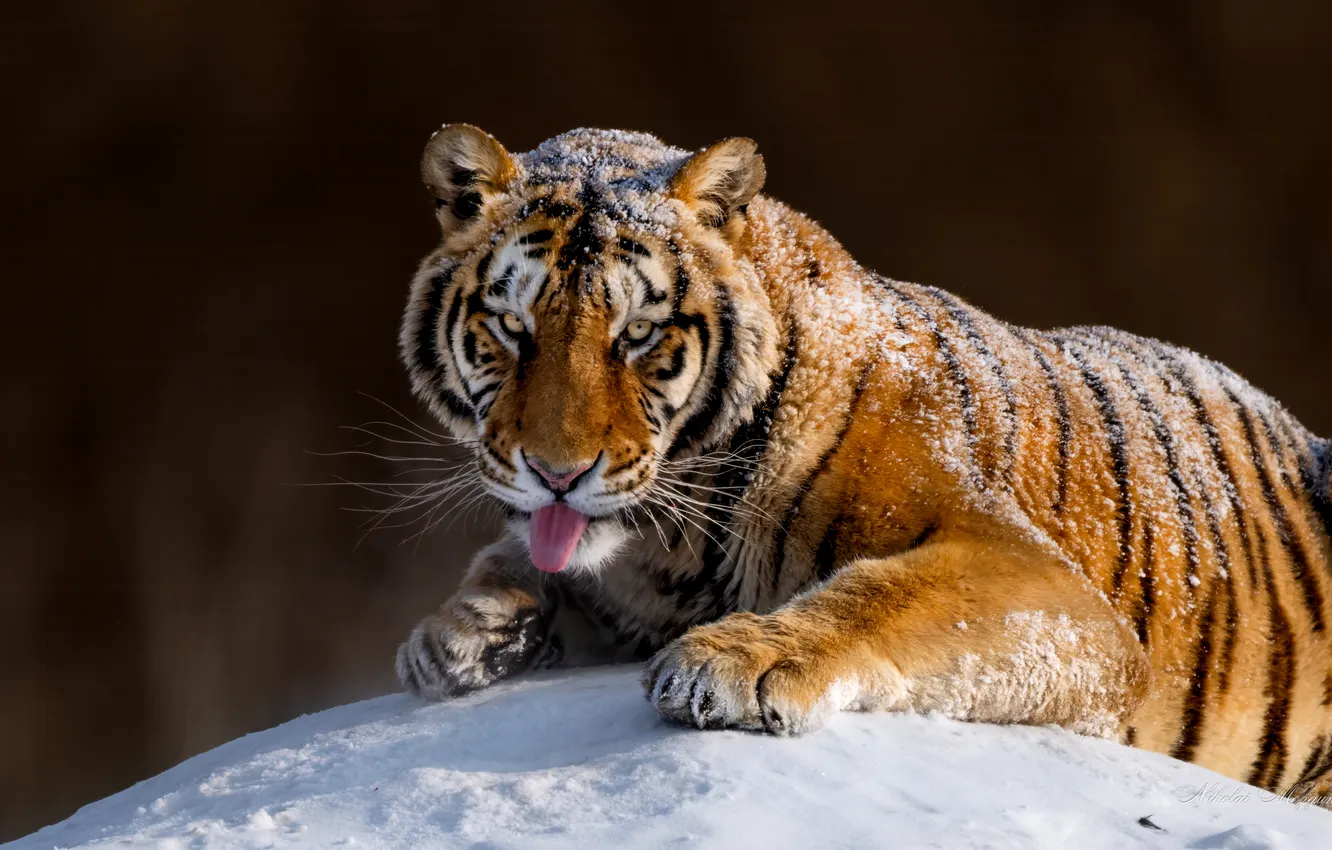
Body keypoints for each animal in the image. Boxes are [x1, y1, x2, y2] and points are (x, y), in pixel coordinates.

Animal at [394, 124, 1332, 801]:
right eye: (512, 328)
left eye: (639, 335)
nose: (557, 472)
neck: (672, 546)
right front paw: (458, 634)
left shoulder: (1049, 588)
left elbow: (883, 592)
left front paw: (734, 659)